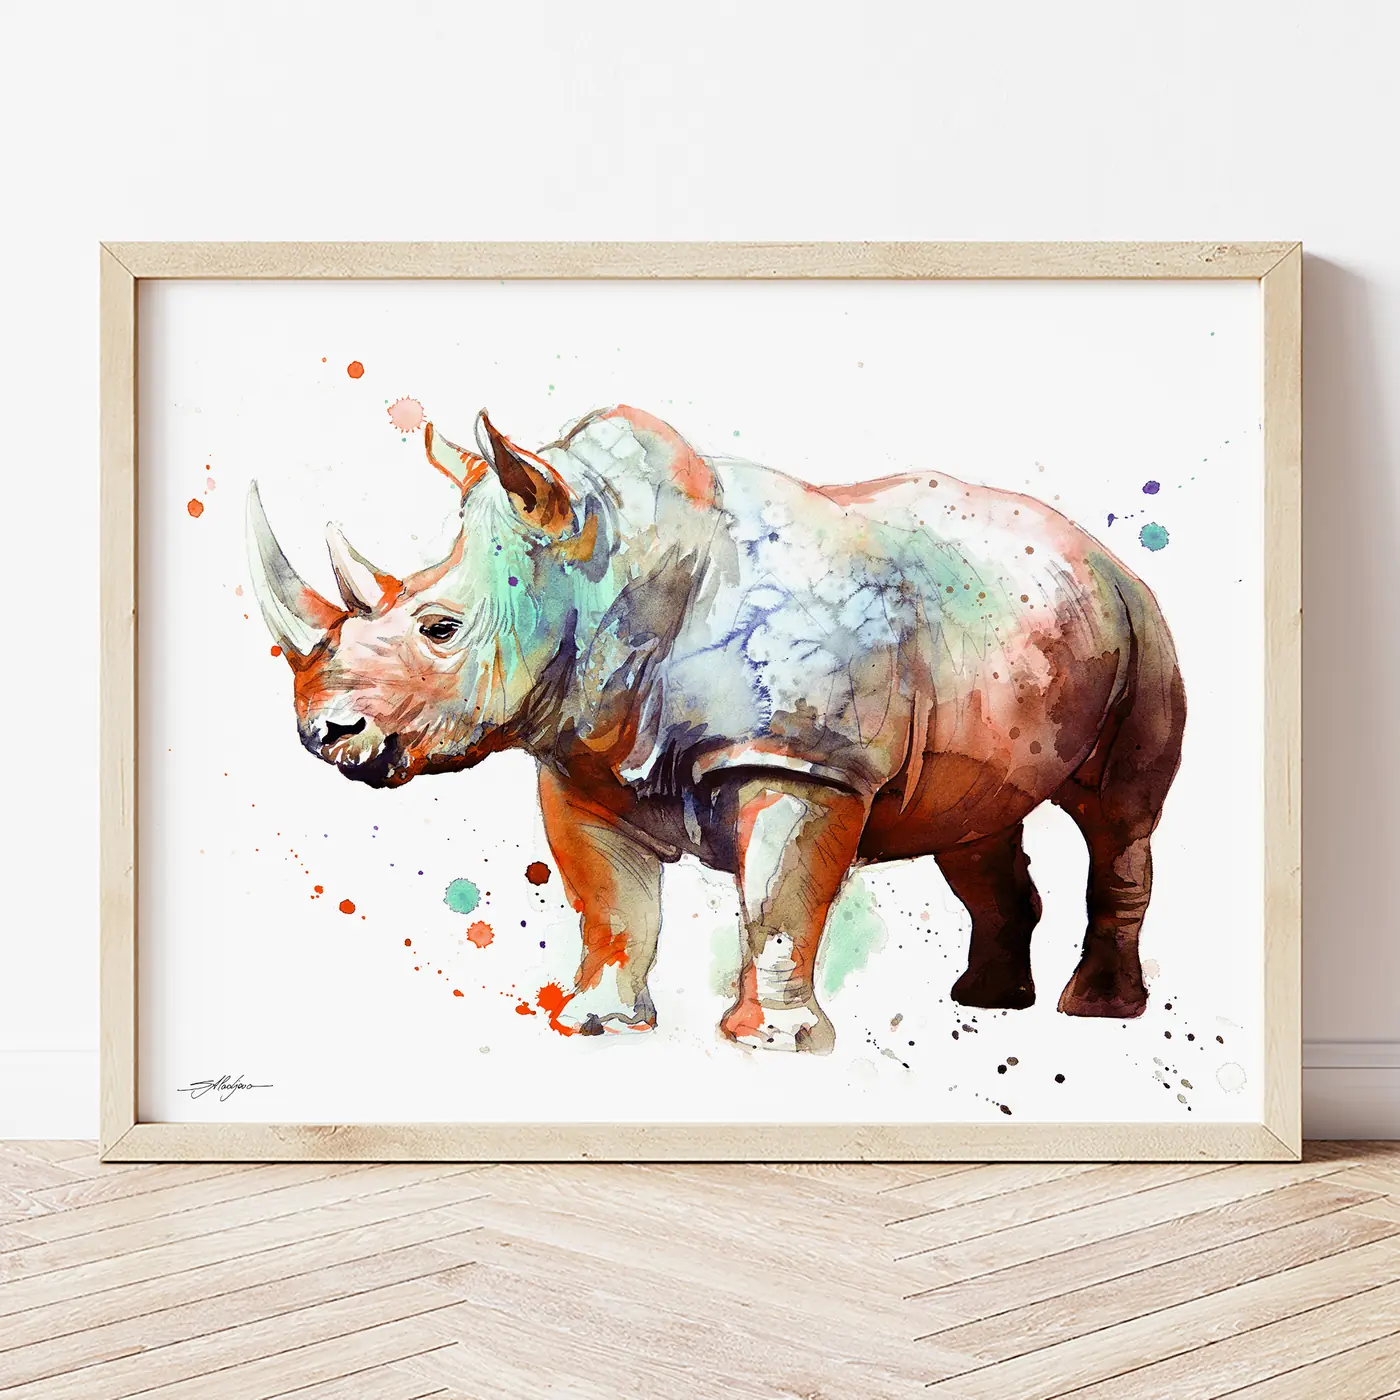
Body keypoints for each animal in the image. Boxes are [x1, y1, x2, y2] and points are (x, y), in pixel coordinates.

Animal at [248, 405, 1185, 1052]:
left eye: (440, 629)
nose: (323, 733)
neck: (610, 558)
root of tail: (1098, 553)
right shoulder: (581, 757)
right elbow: (610, 904)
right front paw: (596, 1026)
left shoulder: (803, 760)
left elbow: (777, 899)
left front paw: (773, 1045)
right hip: (1012, 637)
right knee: (974, 825)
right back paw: (987, 1004)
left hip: (1143, 625)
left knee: (1117, 816)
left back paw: (1096, 1012)